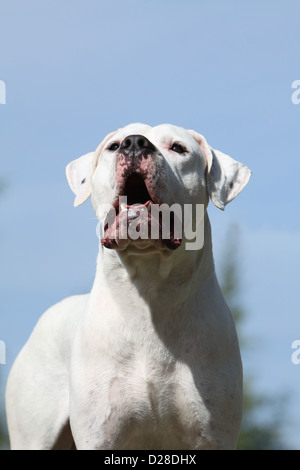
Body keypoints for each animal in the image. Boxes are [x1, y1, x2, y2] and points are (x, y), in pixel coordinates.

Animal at [5, 123, 252, 450]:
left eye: (178, 148)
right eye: (114, 146)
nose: (134, 143)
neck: (149, 293)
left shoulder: (212, 434)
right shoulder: (100, 436)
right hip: (33, 432)